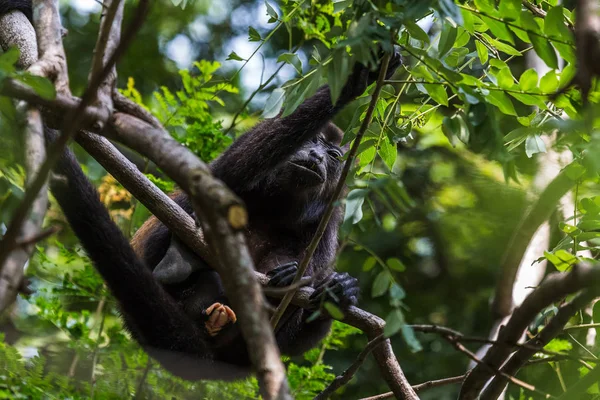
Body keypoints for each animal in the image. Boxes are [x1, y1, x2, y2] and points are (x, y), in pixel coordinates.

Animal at [2, 0, 404, 378]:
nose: (318, 157)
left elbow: (314, 267)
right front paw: (358, 77)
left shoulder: (332, 213)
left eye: (334, 155)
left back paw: (333, 293)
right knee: (183, 212)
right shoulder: (250, 153)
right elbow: (229, 169)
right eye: (315, 141)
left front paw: (316, 282)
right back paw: (178, 261)